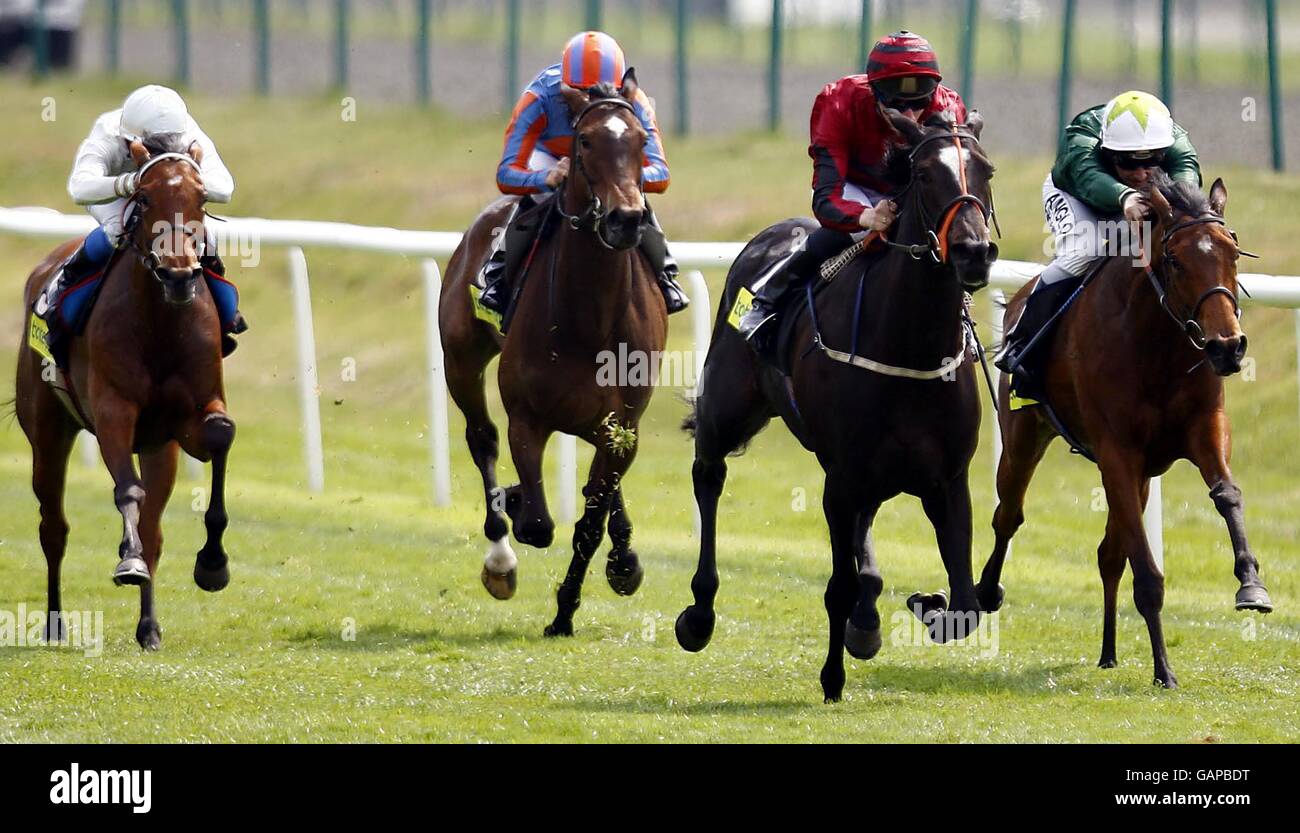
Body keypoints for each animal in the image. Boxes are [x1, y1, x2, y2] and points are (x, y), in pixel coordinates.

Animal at [17, 139, 239, 649]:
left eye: (201, 199)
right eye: (143, 197)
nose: (178, 276)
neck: (161, 322)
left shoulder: (189, 420)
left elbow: (221, 434)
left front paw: (213, 564)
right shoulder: (113, 410)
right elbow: (128, 491)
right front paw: (128, 560)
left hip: (159, 447)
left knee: (154, 529)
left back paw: (149, 627)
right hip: (47, 431)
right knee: (53, 527)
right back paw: (55, 621)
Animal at [439, 79, 665, 636]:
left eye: (639, 140)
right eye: (584, 141)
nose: (626, 219)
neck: (591, 314)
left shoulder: (625, 423)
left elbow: (589, 524)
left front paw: (567, 610)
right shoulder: (527, 416)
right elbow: (539, 523)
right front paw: (515, 503)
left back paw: (623, 556)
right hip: (461, 360)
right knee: (482, 439)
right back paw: (501, 552)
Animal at [676, 109, 998, 696]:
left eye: (985, 169)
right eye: (923, 175)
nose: (973, 251)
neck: (909, 346)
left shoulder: (947, 479)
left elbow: (966, 603)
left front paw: (925, 603)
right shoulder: (841, 478)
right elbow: (838, 585)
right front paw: (832, 677)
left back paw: (868, 619)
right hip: (728, 411)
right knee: (708, 474)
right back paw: (700, 613)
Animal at [977, 171, 1274, 686]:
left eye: (1232, 251)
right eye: (1175, 260)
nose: (1227, 346)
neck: (1156, 343)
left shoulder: (1203, 428)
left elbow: (1227, 494)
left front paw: (1251, 584)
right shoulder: (1117, 452)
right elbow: (1147, 573)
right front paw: (1164, 671)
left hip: (1141, 475)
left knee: (1108, 554)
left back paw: (1109, 651)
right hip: (1023, 438)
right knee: (1008, 515)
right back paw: (986, 591)